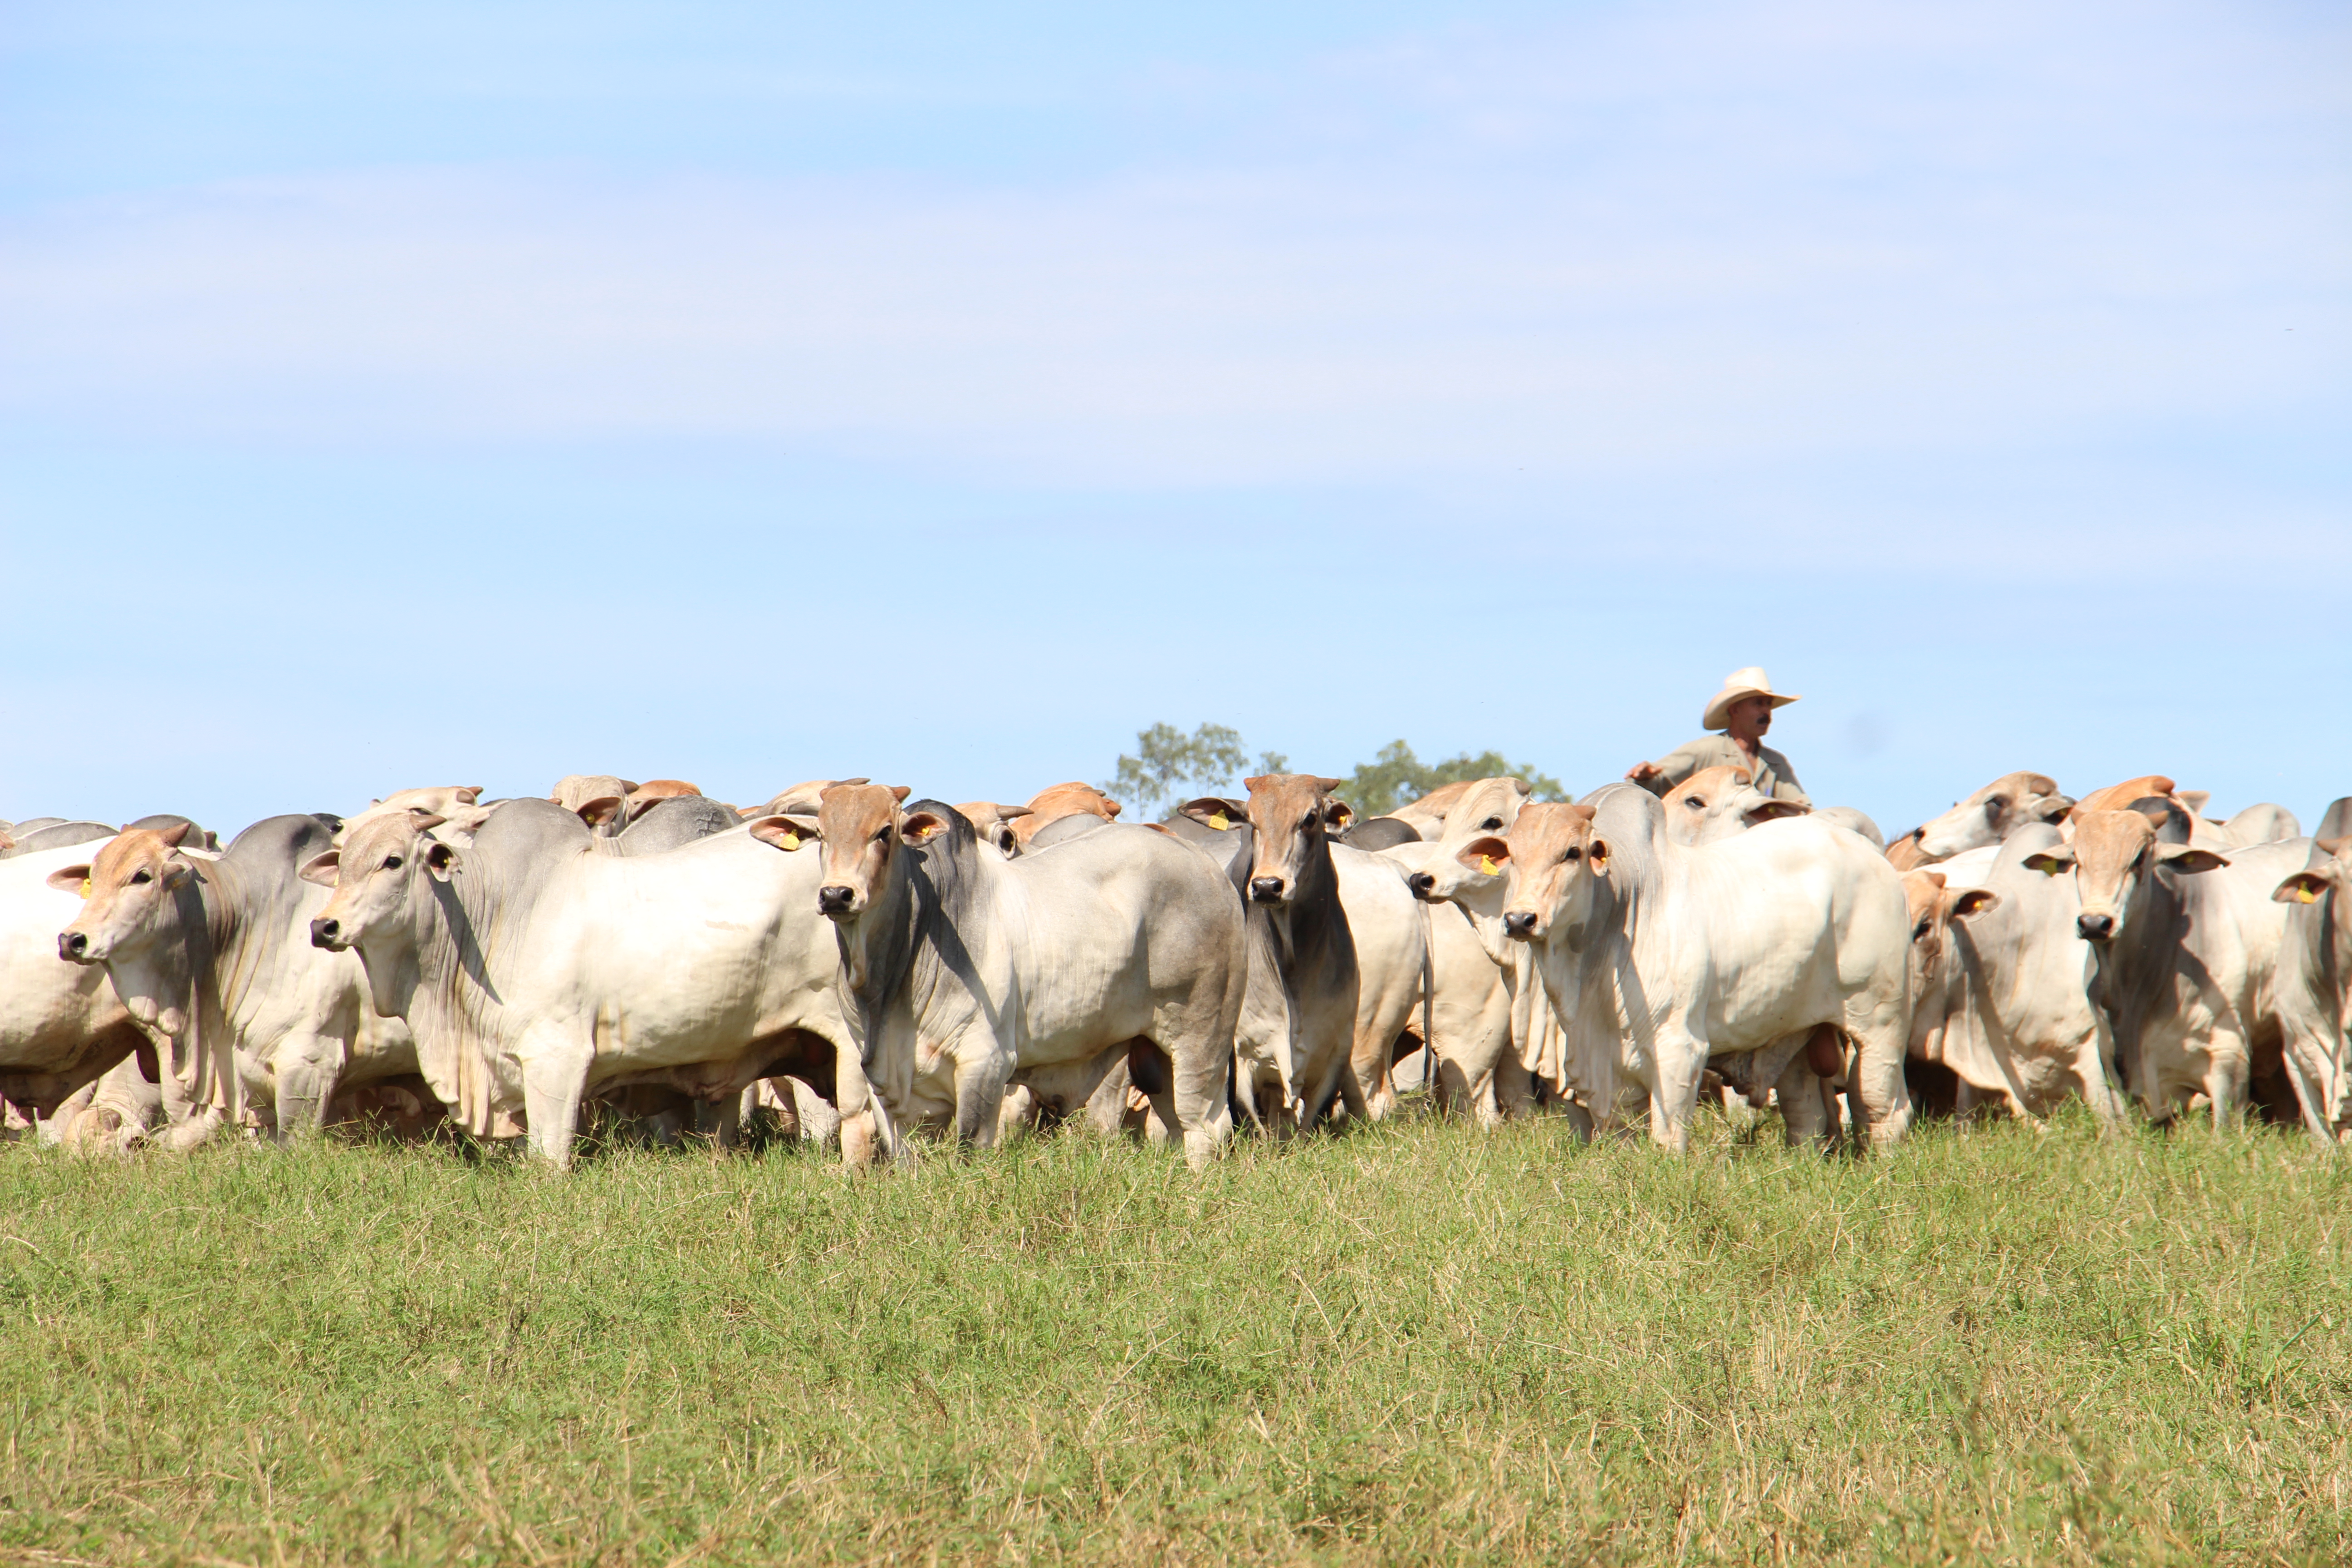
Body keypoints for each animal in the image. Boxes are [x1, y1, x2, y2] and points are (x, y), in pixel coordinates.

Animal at [766, 785, 1251, 1166]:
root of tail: (1205, 864)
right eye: (820, 836)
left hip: (1202, 1035)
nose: (836, 895)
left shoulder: (985, 1064)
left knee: (1206, 1126)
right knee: (1176, 1124)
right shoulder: (884, 1083)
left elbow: (968, 1150)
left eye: (884, 832)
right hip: (1151, 1054)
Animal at [1439, 785, 1919, 1152]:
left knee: (1882, 1107)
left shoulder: (1679, 1049)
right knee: (1808, 1115)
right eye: (1511, 857)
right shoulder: (1585, 1068)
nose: (1521, 919)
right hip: (1795, 1029)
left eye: (1572, 853)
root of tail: (1876, 859)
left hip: (1881, 1022)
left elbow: (1667, 1140)